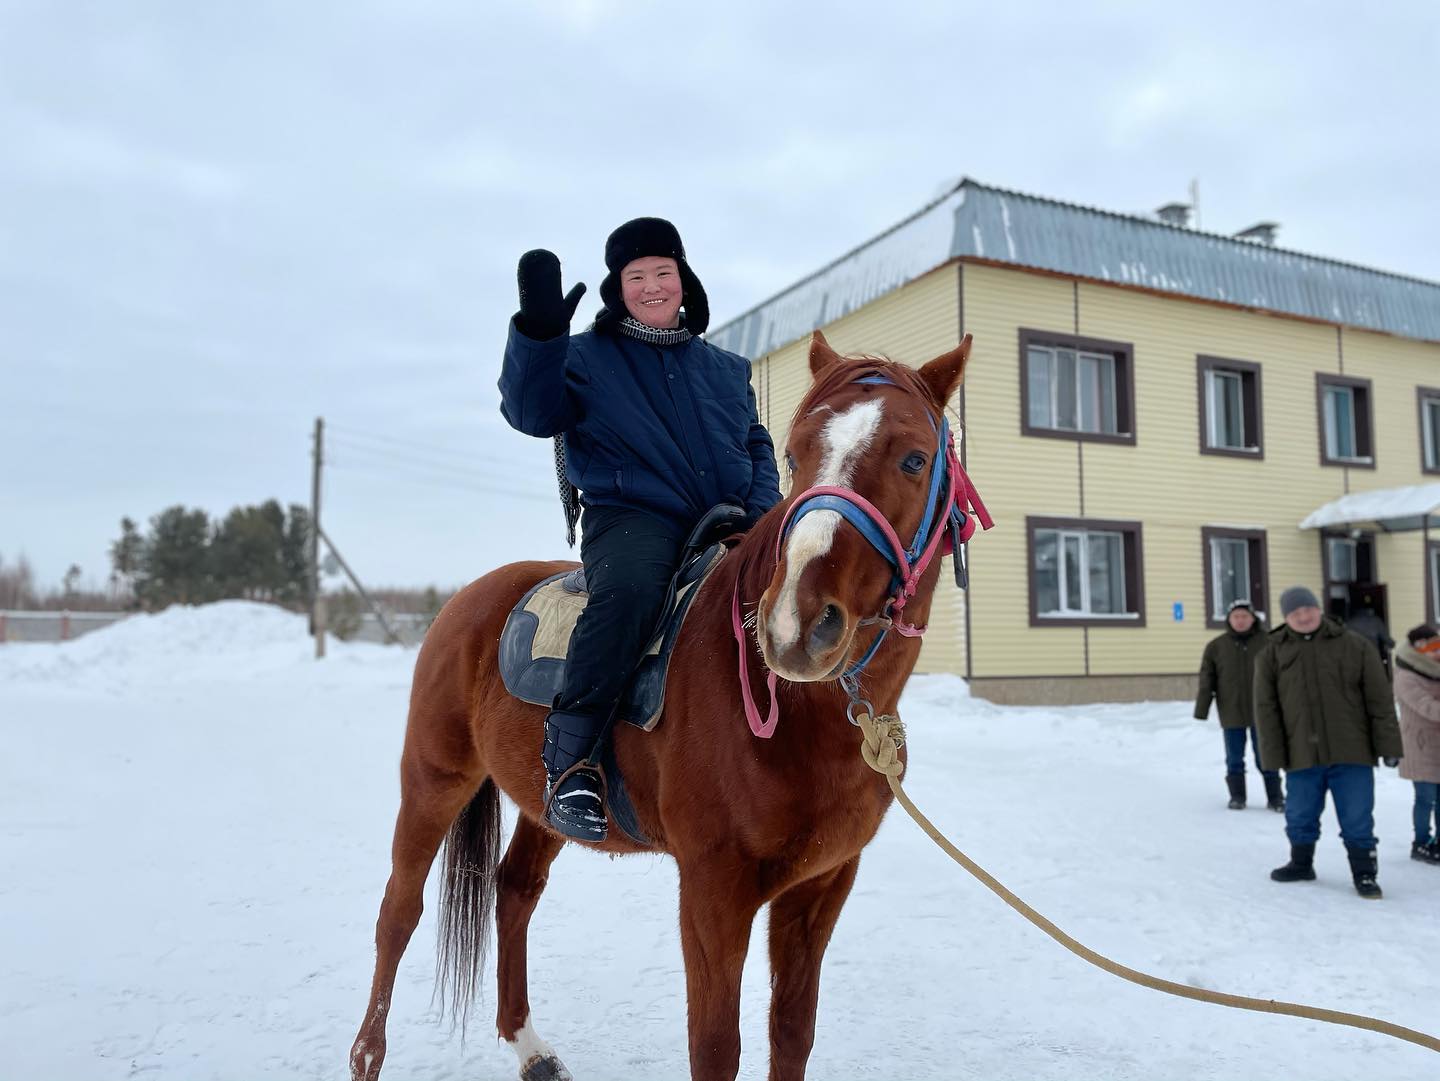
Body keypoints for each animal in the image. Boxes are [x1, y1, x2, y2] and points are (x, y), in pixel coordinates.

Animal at [349, 332, 979, 1081]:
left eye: (914, 458)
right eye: (796, 455)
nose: (794, 625)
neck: (800, 719)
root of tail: (468, 599)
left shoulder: (821, 887)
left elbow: (792, 1032)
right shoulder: (713, 890)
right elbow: (715, 1048)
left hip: (543, 804)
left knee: (514, 889)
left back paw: (529, 1045)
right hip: (434, 778)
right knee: (397, 911)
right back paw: (367, 1054)